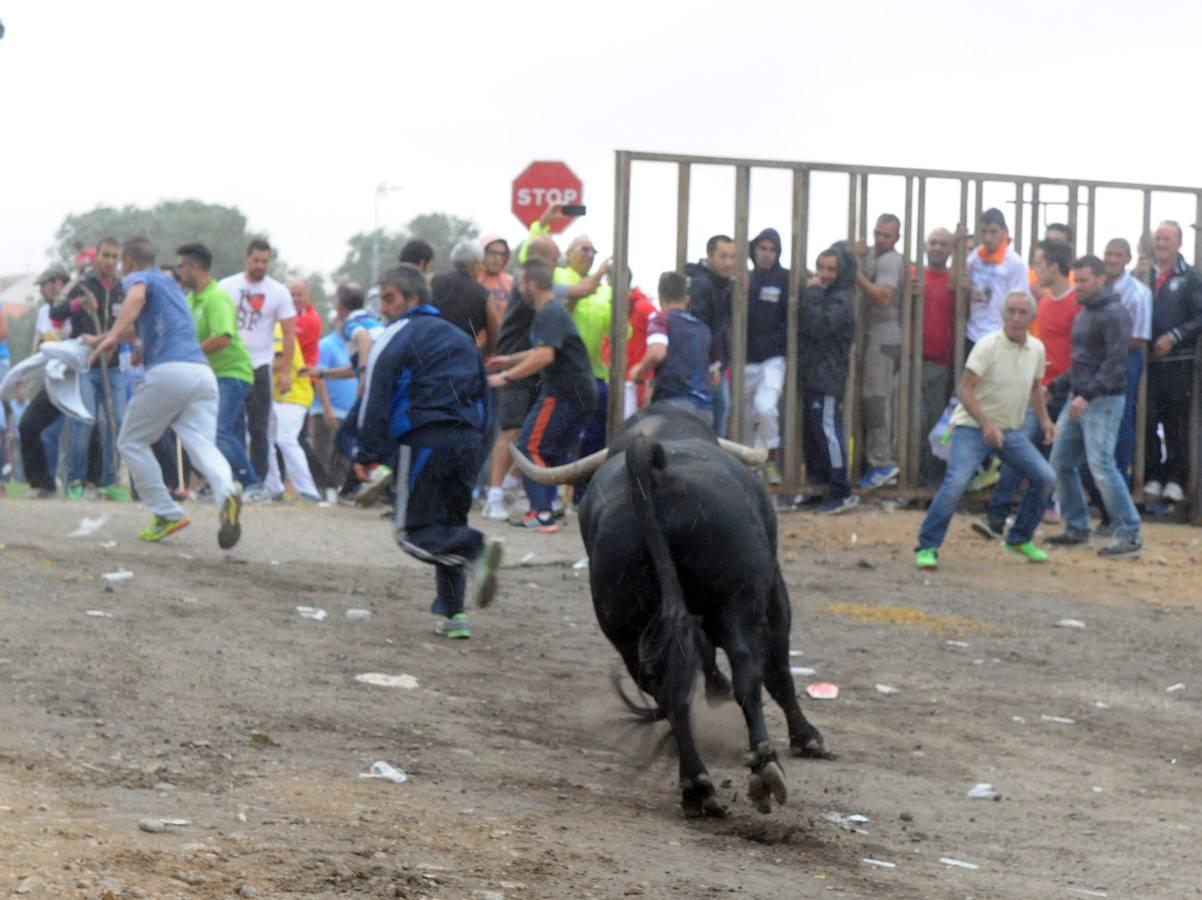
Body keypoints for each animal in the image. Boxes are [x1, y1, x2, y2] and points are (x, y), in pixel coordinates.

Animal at [512, 403, 831, 817]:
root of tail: (648, 457)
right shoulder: (774, 590)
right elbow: (778, 671)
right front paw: (807, 737)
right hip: (738, 602)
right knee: (748, 671)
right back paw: (763, 768)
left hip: (626, 626)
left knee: (670, 692)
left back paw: (697, 785)